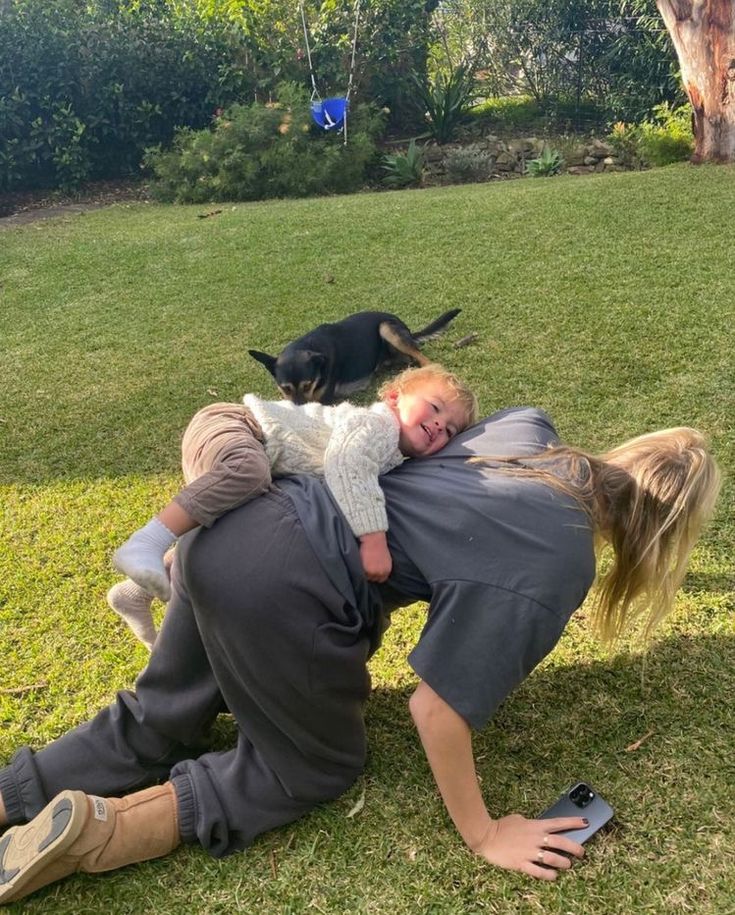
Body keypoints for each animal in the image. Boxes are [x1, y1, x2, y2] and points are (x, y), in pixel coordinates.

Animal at [250, 310, 462, 406]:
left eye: (307, 385)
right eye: (285, 388)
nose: (300, 409)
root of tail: (408, 329)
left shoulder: (323, 400)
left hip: (386, 327)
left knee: (422, 356)